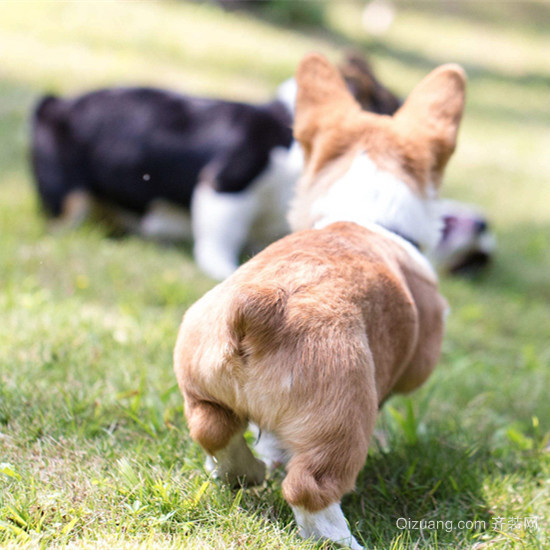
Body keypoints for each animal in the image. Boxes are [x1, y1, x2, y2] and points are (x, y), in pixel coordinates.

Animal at [174, 52, 466, 550]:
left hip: (200, 385)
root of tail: (260, 309)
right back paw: (340, 538)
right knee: (309, 487)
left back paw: (242, 472)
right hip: (343, 421)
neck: (366, 211)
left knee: (213, 429)